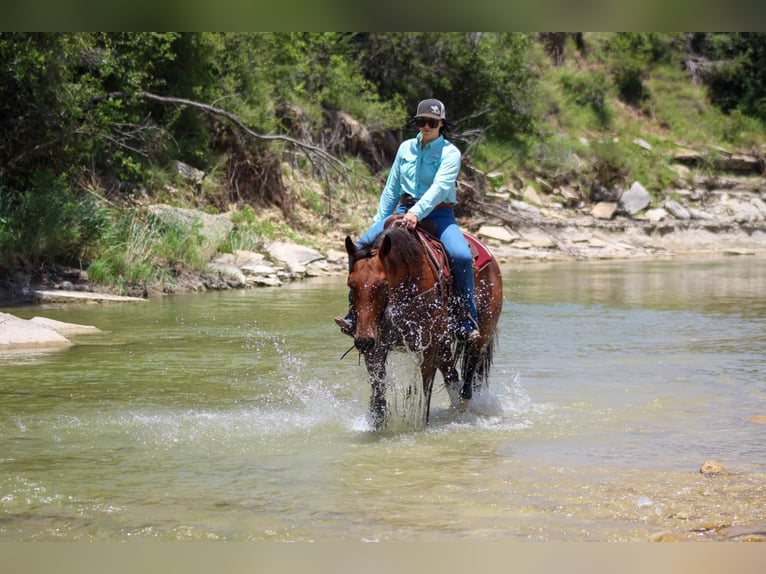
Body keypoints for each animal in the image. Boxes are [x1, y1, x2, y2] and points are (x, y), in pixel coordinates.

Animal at [344, 215, 503, 429]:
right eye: (351, 284)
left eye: (382, 285)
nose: (363, 341)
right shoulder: (378, 346)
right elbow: (378, 389)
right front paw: (377, 424)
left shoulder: (428, 345)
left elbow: (425, 387)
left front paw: (420, 424)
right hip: (444, 344)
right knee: (452, 375)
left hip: (482, 333)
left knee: (469, 374)